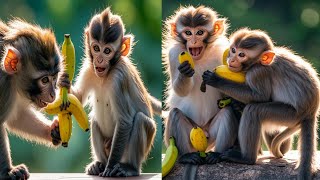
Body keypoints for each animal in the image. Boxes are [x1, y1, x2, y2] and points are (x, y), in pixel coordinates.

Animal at [0, 19, 69, 179]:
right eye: (44, 80)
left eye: (54, 78)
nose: (53, 94)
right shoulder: (4, 85)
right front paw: (8, 171)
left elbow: (18, 117)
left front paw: (53, 131)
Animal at [69, 7, 160, 176]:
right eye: (96, 48)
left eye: (107, 51)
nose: (99, 60)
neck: (105, 75)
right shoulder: (89, 69)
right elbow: (78, 98)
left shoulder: (119, 79)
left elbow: (125, 121)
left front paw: (110, 168)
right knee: (94, 121)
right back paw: (100, 164)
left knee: (140, 120)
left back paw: (129, 168)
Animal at [162, 5, 238, 165]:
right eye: (188, 33)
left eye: (200, 32)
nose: (194, 40)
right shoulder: (174, 54)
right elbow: (180, 91)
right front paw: (184, 72)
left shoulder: (224, 52)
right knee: (176, 114)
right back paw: (186, 156)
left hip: (211, 136)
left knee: (227, 113)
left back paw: (217, 154)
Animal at [202, 27, 320, 179]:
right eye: (233, 50)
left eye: (241, 54)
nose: (232, 59)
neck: (258, 62)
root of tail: (311, 111)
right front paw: (236, 103)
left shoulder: (258, 73)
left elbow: (260, 96)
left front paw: (217, 80)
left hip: (290, 115)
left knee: (254, 110)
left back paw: (247, 158)